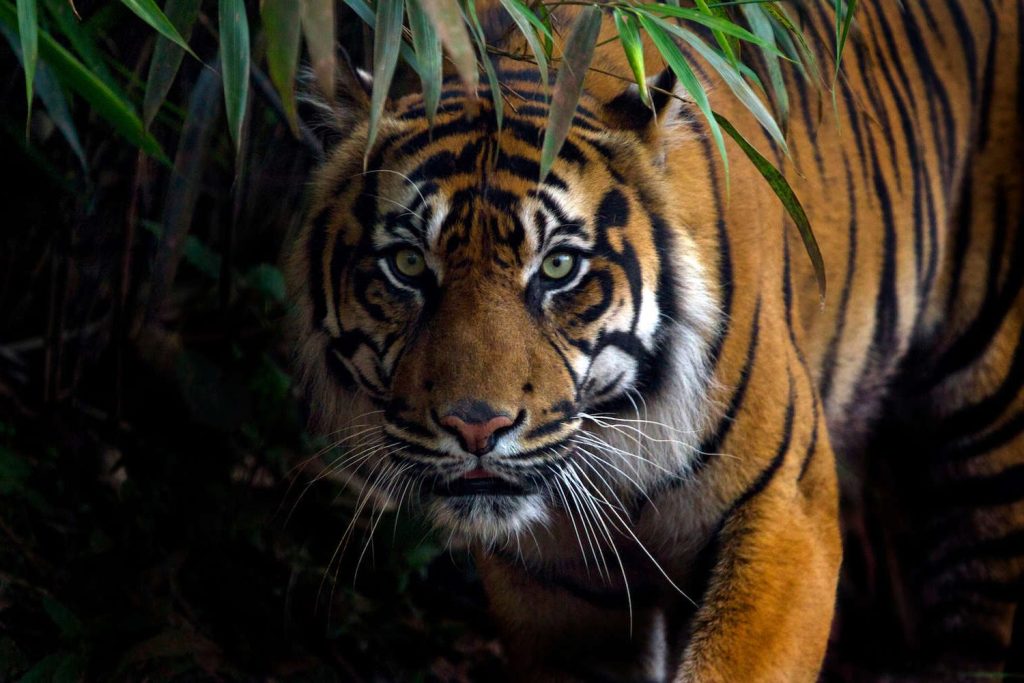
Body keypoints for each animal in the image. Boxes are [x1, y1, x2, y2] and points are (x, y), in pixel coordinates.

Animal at [286, 0, 1024, 679]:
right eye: (409, 265)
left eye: (558, 266)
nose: (476, 427)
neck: (613, 434)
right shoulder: (560, 587)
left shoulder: (787, 508)